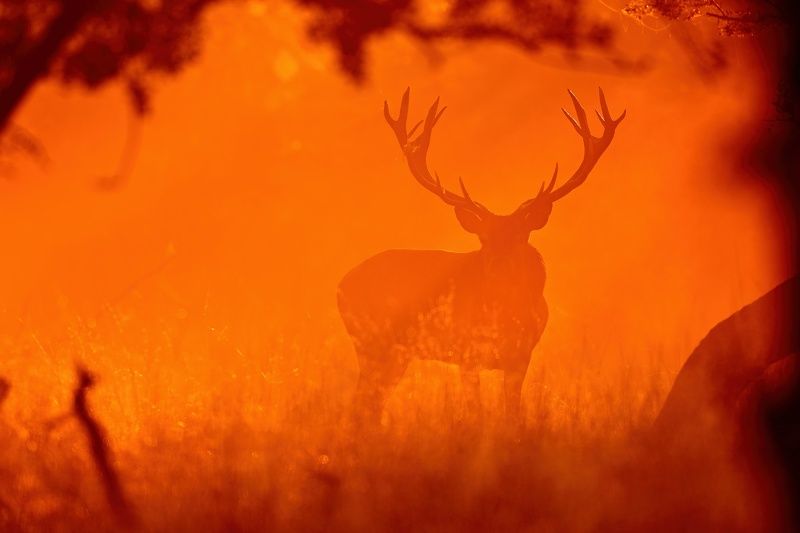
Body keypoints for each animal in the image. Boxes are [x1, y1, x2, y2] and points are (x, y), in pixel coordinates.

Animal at [338, 88, 625, 426]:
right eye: (483, 238)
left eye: (520, 236)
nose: (498, 265)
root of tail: (341, 286)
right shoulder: (466, 352)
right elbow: (474, 411)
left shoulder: (521, 357)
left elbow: (511, 413)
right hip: (373, 343)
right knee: (361, 404)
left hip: (393, 352)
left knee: (369, 405)